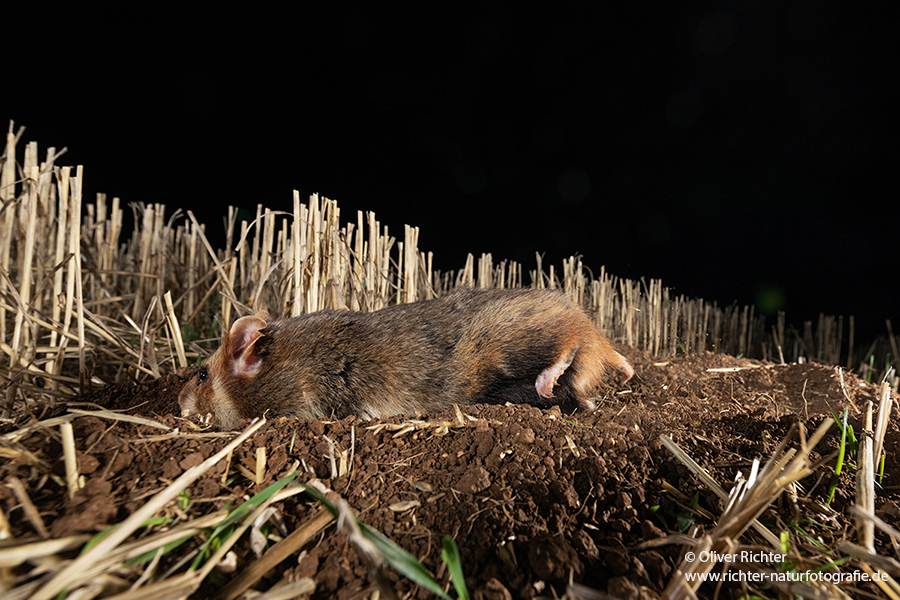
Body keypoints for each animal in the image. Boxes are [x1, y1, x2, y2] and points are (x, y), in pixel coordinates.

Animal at [178, 287, 634, 429]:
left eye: (200, 375)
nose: (178, 404)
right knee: (578, 379)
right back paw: (582, 397)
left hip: (509, 338)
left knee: (569, 342)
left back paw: (555, 375)